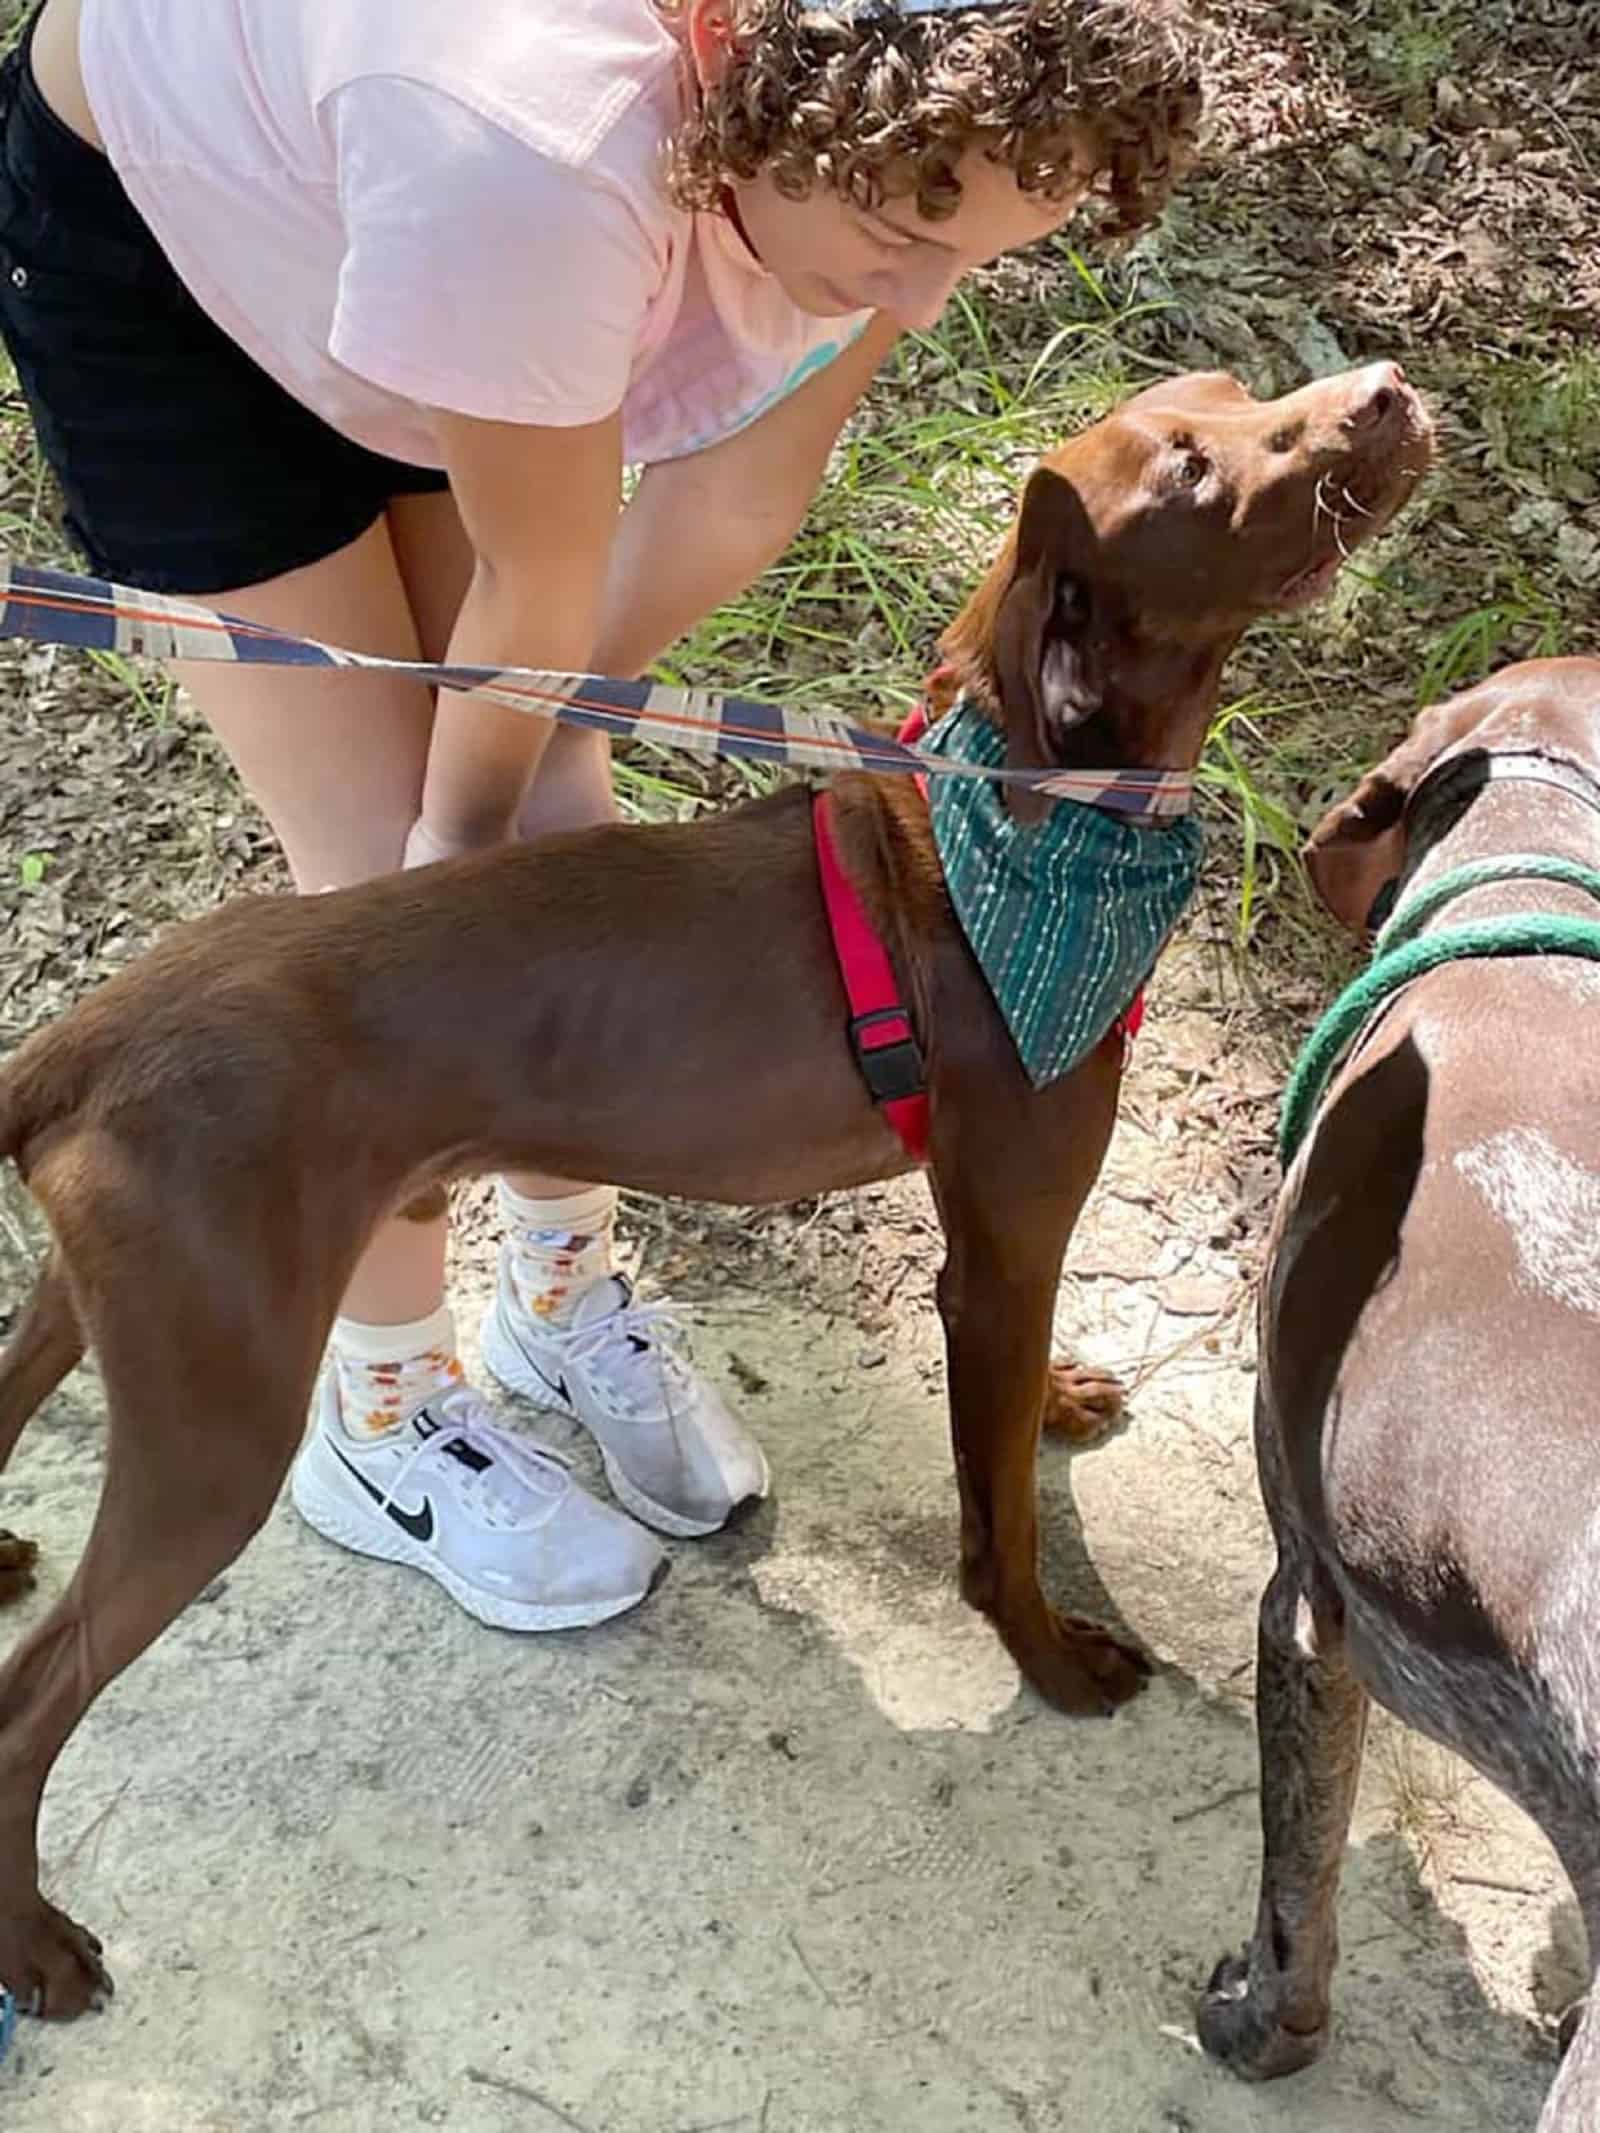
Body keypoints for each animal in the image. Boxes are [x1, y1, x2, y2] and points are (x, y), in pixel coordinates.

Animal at [0, 362, 1425, 2013]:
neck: (1016, 829)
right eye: (1195, 469)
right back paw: (37, 1945)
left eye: (1233, 397)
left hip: (112, 1305)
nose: (1390, 389)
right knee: (30, 1695)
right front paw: (1049, 1656)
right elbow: (997, 1510)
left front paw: (1064, 1398)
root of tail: (95, 1026)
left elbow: (1022, 1429)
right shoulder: (997, 1250)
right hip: (213, 1418)